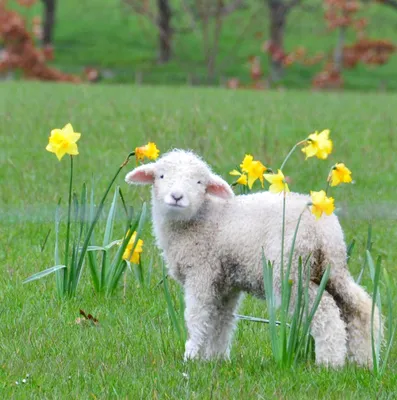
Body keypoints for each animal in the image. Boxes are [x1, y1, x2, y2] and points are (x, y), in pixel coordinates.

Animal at [125, 148, 382, 368]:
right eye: (161, 175)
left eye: (199, 182)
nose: (177, 196)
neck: (199, 219)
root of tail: (323, 228)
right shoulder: (225, 283)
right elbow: (222, 321)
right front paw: (216, 359)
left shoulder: (202, 272)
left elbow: (198, 315)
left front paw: (192, 356)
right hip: (332, 267)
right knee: (359, 306)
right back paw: (365, 360)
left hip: (290, 270)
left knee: (325, 311)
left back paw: (329, 363)